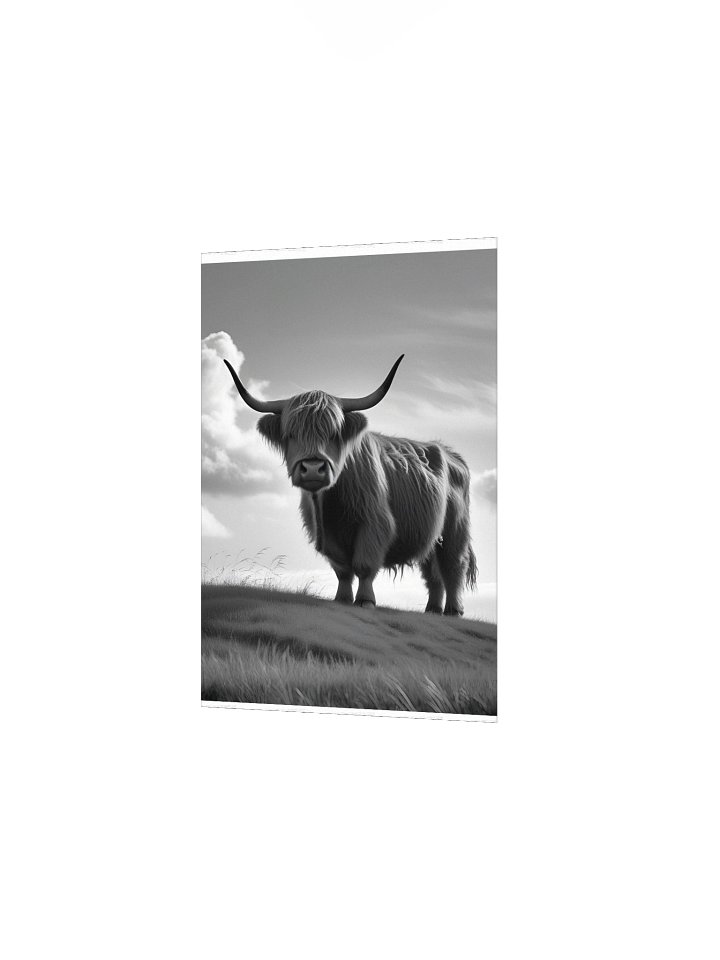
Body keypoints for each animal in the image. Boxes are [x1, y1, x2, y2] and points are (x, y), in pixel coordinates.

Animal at [224, 355, 477, 615]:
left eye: (334, 434)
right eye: (291, 434)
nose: (313, 468)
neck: (331, 502)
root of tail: (449, 452)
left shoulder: (375, 522)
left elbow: (364, 564)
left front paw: (366, 600)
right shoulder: (326, 532)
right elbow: (342, 569)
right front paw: (343, 598)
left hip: (455, 530)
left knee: (453, 565)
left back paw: (453, 610)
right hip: (431, 533)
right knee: (433, 572)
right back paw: (432, 610)